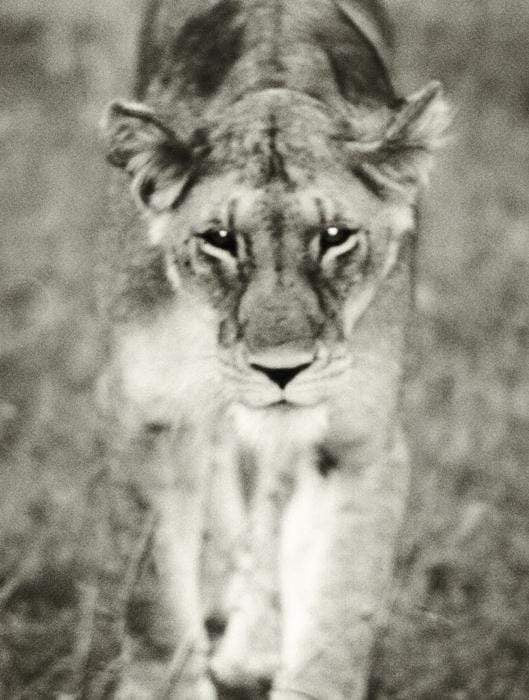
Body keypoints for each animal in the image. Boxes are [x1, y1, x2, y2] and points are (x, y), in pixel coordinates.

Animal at [98, 0, 448, 697]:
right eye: (220, 239)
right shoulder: (149, 417)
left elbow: (338, 608)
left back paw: (252, 645)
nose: (280, 371)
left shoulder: (359, 441)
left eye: (336, 237)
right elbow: (154, 593)